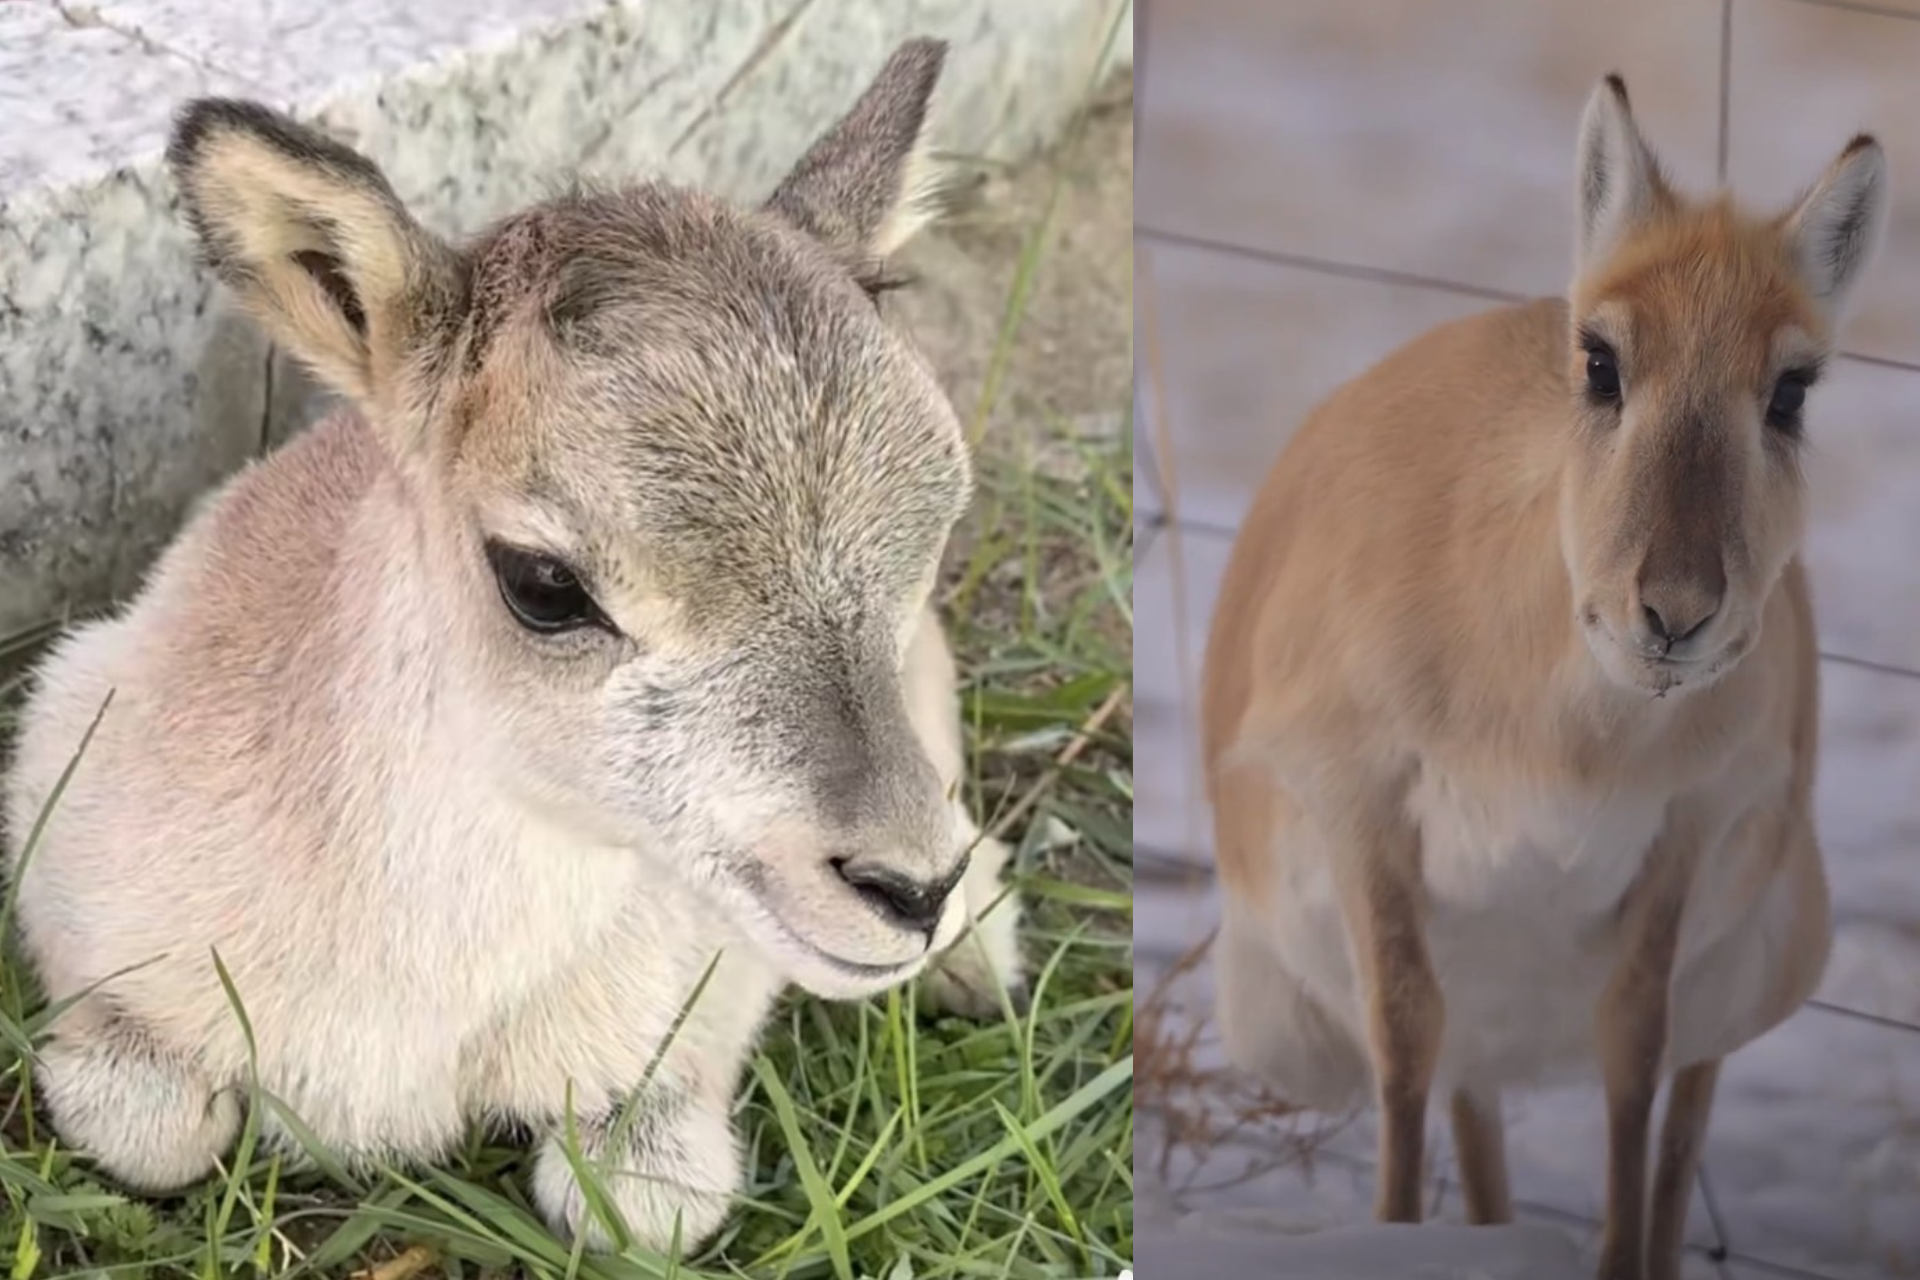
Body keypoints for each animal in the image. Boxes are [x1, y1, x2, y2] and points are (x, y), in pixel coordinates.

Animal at [1198, 75, 1889, 1274]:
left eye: (1792, 390)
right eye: (1601, 359)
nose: (1674, 610)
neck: (1561, 735)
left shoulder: (1687, 828)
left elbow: (1636, 1052)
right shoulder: (1360, 802)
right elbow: (1404, 1037)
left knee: (1688, 1091)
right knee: (1469, 1101)